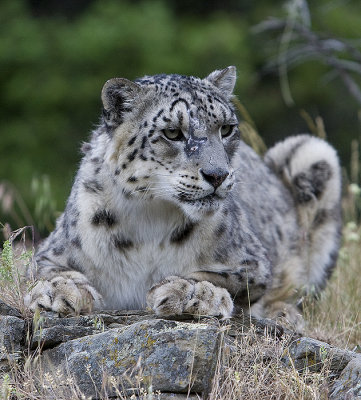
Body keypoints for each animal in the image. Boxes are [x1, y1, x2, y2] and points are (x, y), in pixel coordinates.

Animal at [24, 66, 340, 328]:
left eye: (227, 128)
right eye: (173, 132)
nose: (217, 175)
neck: (150, 218)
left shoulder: (253, 262)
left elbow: (224, 276)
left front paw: (191, 292)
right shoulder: (53, 250)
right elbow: (44, 271)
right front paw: (60, 290)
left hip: (314, 152)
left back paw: (284, 314)